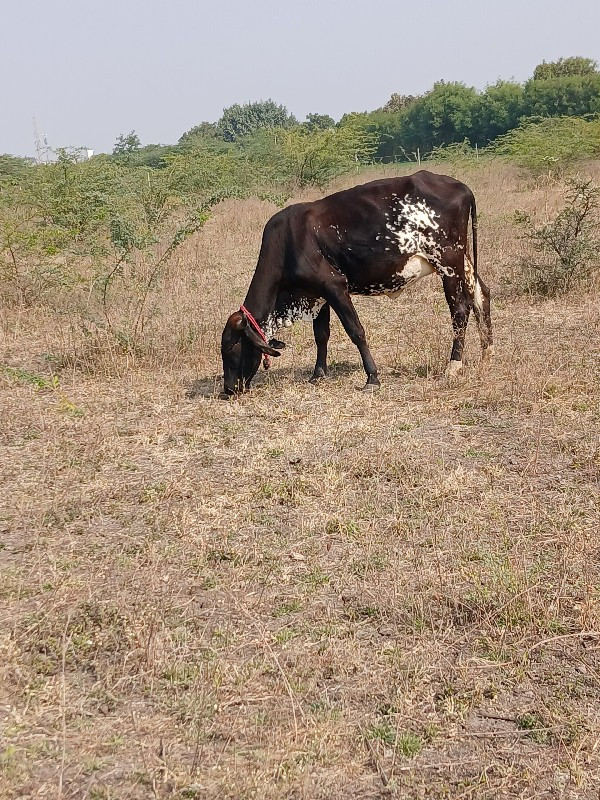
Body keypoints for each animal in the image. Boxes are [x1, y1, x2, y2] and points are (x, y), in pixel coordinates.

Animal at [220, 170, 492, 396]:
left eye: (231, 350)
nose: (229, 390)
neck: (287, 243)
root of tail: (461, 186)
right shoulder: (317, 294)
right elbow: (321, 335)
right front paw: (318, 374)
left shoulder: (334, 286)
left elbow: (356, 331)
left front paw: (372, 377)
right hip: (462, 261)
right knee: (482, 295)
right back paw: (486, 354)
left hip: (448, 263)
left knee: (460, 310)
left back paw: (453, 366)